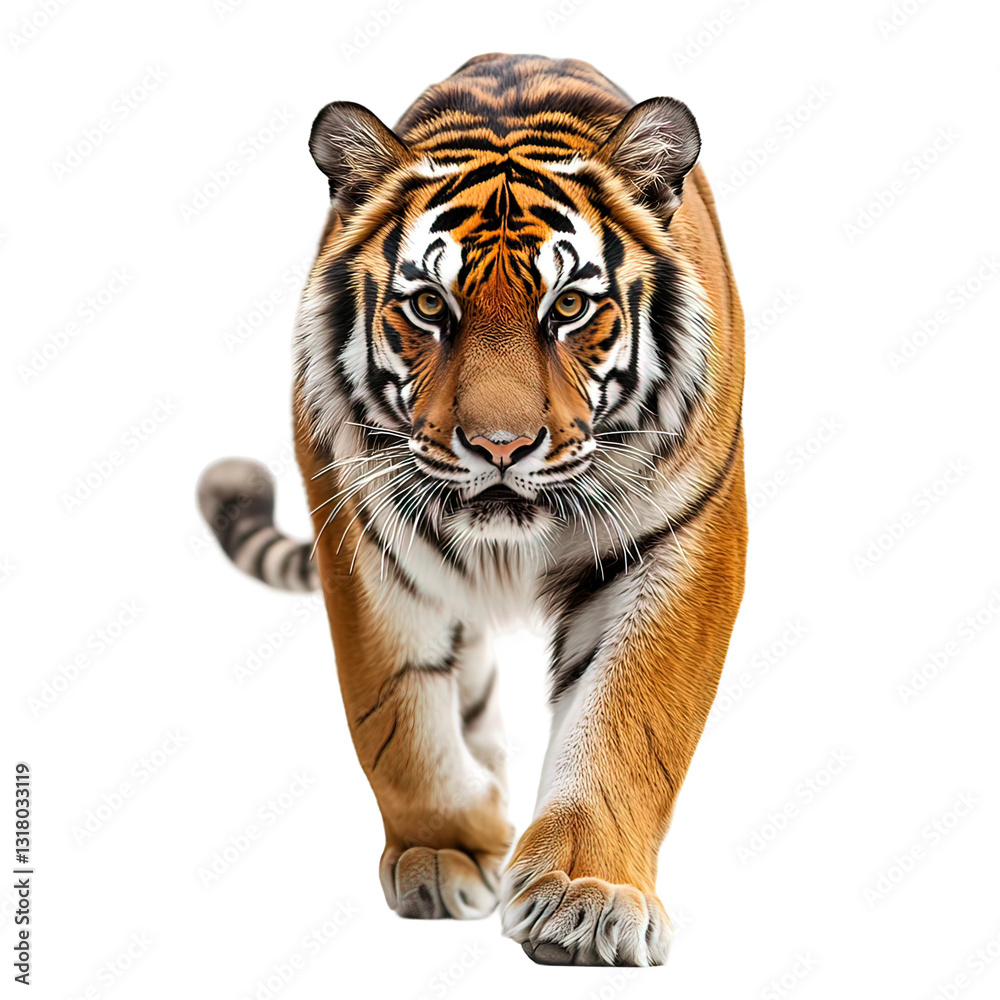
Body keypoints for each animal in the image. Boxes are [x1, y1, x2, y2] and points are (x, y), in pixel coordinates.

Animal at [198, 53, 747, 967]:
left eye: (568, 308)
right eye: (430, 306)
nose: (499, 446)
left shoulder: (683, 535)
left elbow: (628, 717)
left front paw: (585, 896)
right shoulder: (363, 531)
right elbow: (395, 712)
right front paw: (445, 849)